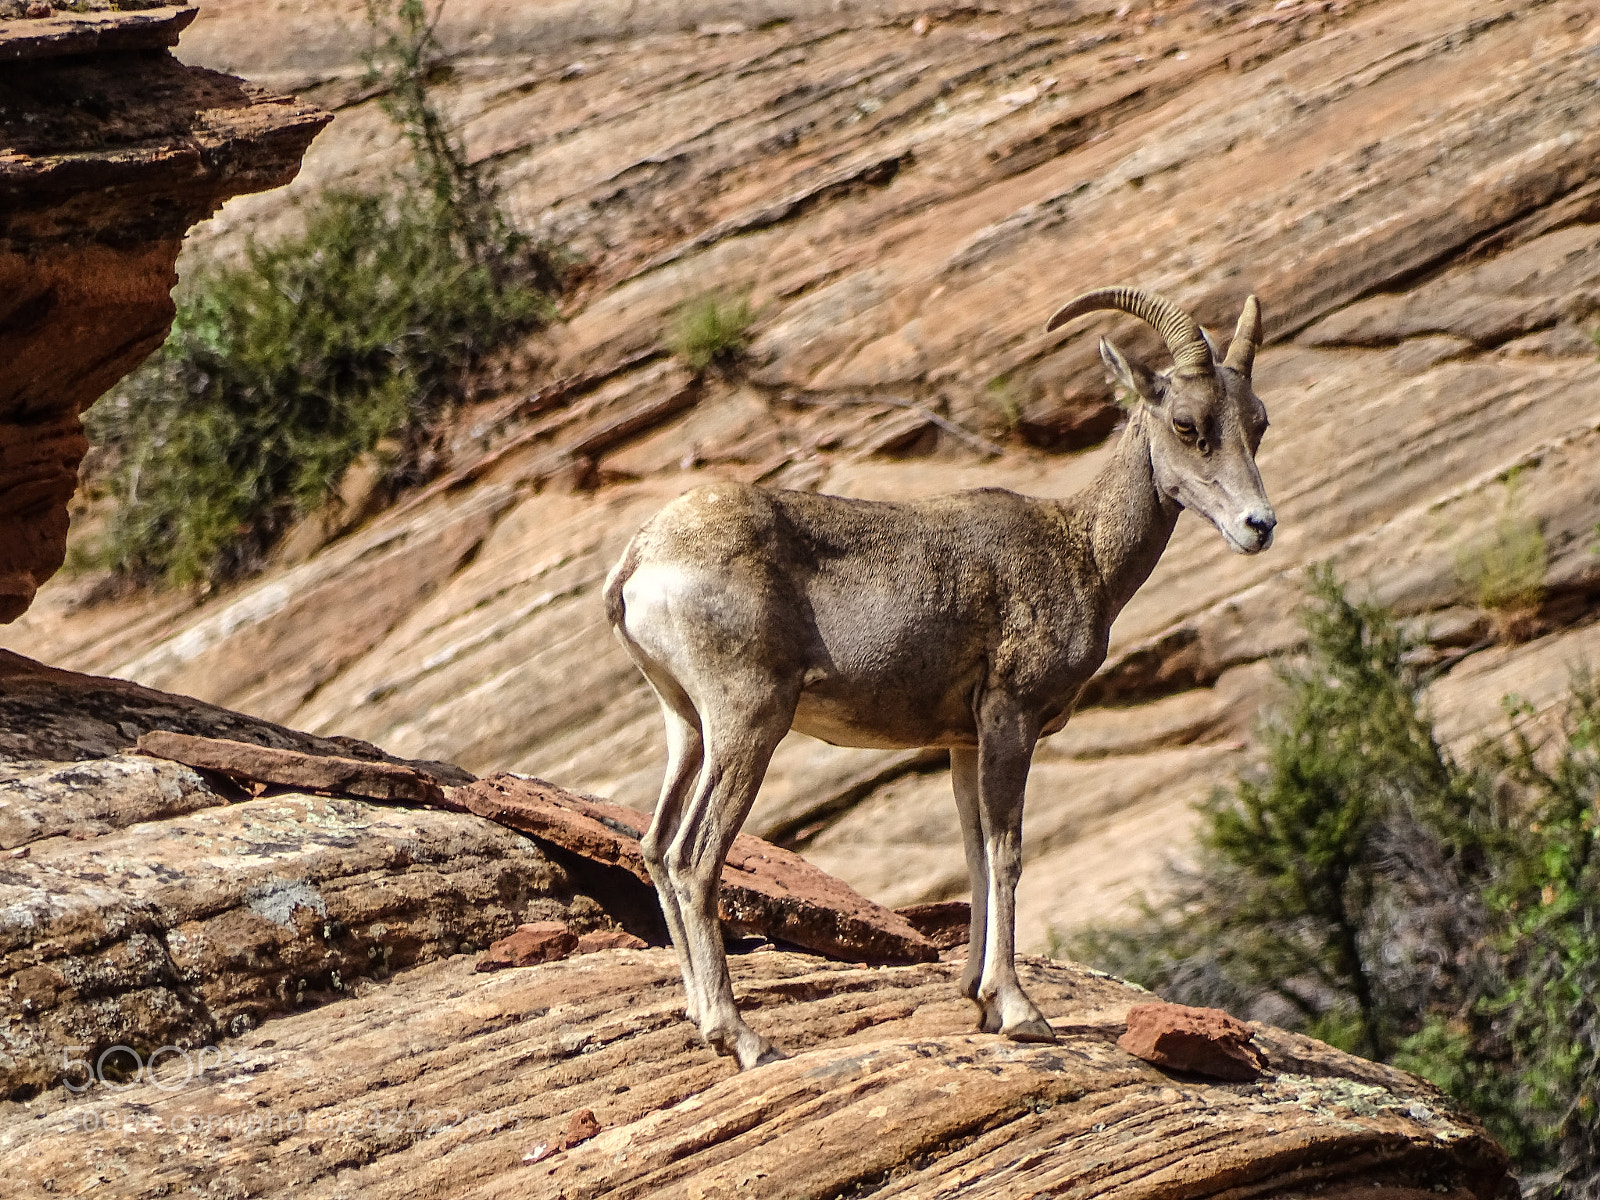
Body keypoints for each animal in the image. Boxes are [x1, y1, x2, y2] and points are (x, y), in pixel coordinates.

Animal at [604, 286, 1275, 1069]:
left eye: (1257, 424)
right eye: (1186, 424)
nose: (1259, 525)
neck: (1079, 550)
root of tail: (640, 561)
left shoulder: (963, 742)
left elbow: (975, 857)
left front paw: (981, 1002)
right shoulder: (1011, 720)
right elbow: (1007, 855)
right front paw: (1021, 1012)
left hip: (687, 726)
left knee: (654, 847)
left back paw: (699, 1019)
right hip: (748, 726)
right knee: (693, 858)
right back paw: (742, 1039)